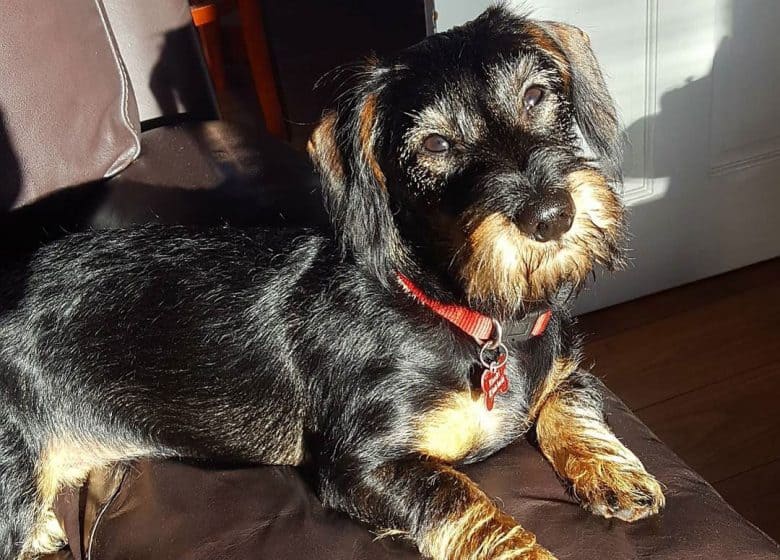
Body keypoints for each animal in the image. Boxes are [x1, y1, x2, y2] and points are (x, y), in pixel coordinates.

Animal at [0, 5, 664, 560]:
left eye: (536, 94)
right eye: (435, 143)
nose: (550, 215)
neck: (479, 316)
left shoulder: (567, 366)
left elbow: (569, 402)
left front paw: (614, 471)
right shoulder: (362, 465)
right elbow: (460, 498)